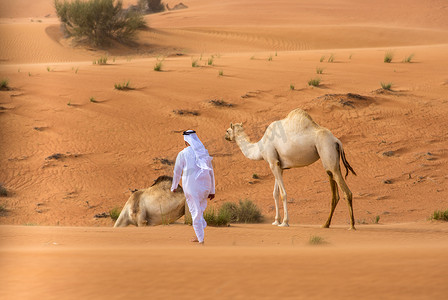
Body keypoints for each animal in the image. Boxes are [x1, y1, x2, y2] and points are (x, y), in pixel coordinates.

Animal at [224, 109, 356, 229]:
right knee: (335, 193)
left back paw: (351, 226)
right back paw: (325, 224)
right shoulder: (278, 165)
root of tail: (336, 140)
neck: (260, 147)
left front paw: (284, 222)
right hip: (332, 160)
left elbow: (283, 194)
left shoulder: (272, 162)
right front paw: (276, 221)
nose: (225, 136)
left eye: (227, 130)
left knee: (346, 191)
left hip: (327, 150)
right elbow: (275, 193)